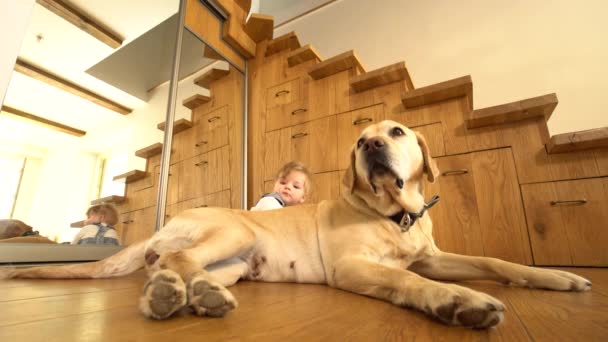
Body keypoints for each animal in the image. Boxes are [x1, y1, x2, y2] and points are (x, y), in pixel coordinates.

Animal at [0, 120, 588, 328]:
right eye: (359, 140)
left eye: (396, 132)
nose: (372, 146)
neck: (393, 214)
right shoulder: (354, 266)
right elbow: (406, 279)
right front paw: (457, 301)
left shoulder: (433, 256)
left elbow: (493, 258)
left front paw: (557, 278)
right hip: (234, 231)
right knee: (171, 259)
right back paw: (171, 293)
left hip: (236, 263)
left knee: (184, 269)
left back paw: (192, 296)